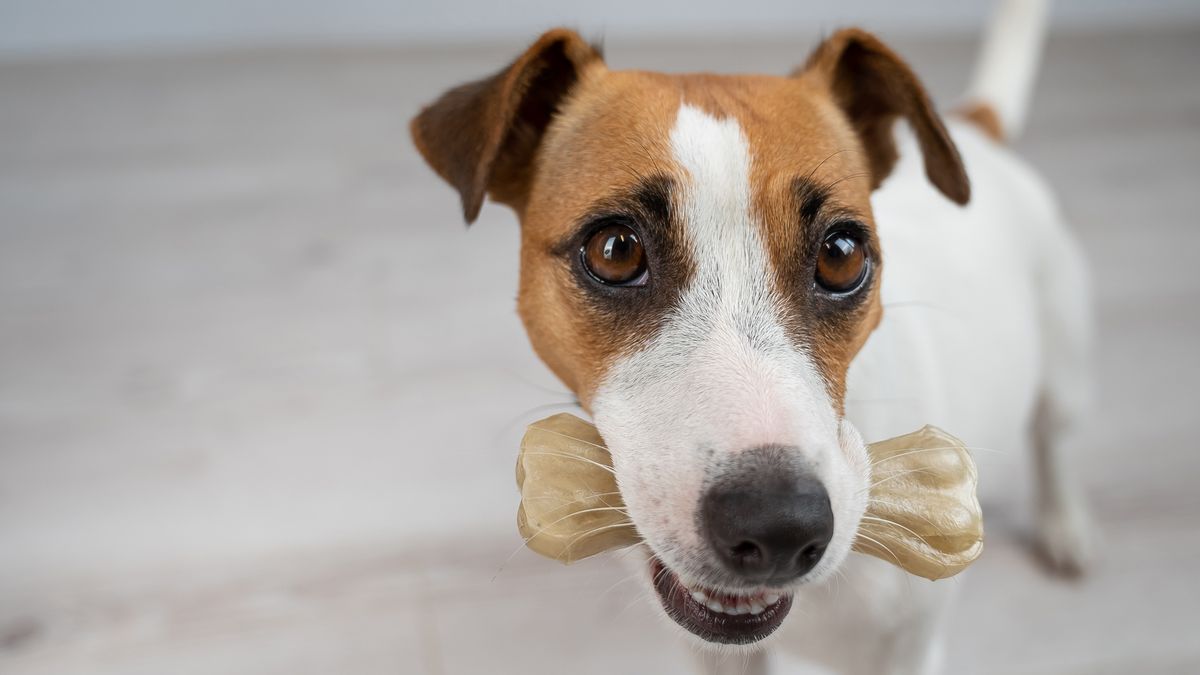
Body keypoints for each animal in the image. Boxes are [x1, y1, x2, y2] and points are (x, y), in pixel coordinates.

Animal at [408, 2, 1094, 667]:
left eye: (842, 254)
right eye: (615, 250)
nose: (780, 528)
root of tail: (975, 128)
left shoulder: (908, 650)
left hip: (1062, 369)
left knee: (1052, 440)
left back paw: (1065, 527)